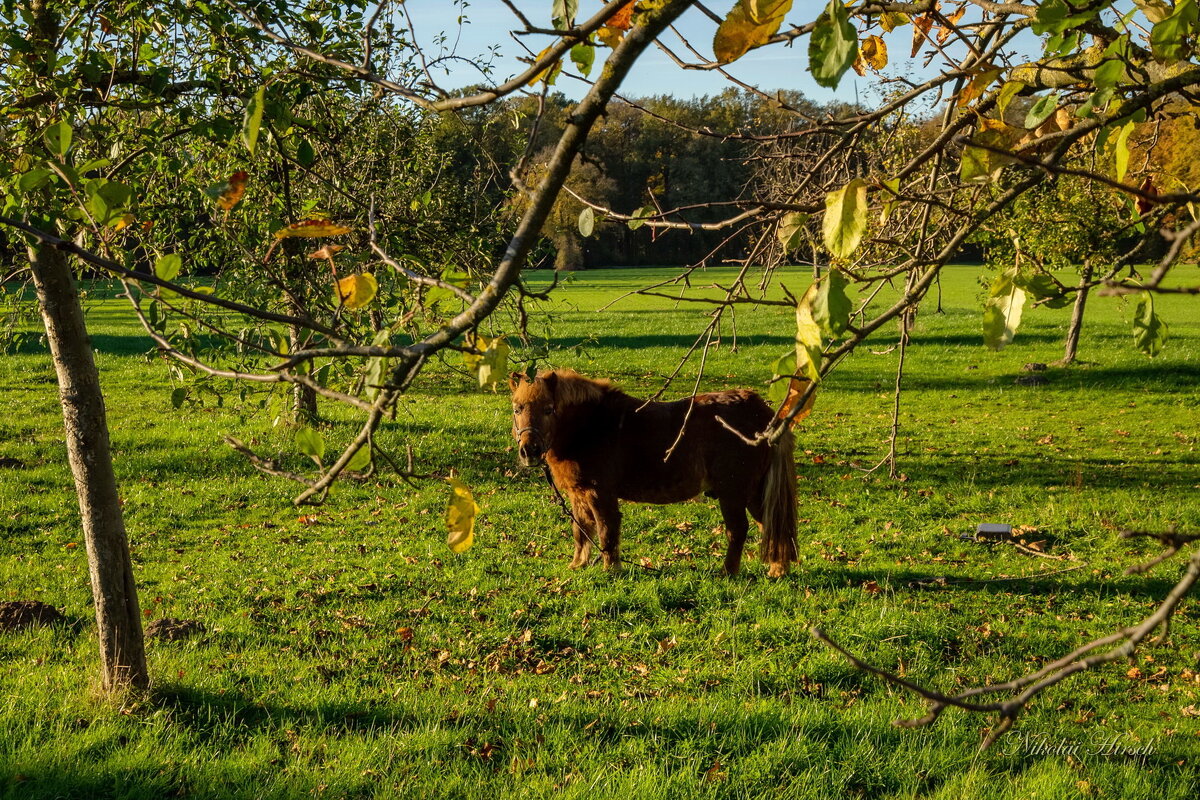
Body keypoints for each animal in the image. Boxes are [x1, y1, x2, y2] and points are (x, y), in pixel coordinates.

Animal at [511, 367, 801, 578]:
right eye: (517, 408)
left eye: (549, 409)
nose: (530, 451)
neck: (590, 426)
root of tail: (764, 415)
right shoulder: (578, 494)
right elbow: (581, 531)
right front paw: (578, 565)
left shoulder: (599, 493)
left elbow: (606, 529)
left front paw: (611, 569)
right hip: (754, 493)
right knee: (772, 526)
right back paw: (778, 570)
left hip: (734, 493)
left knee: (739, 530)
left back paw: (728, 572)